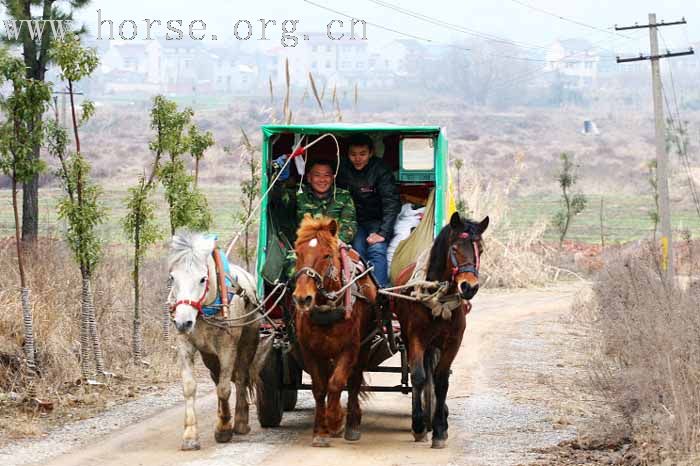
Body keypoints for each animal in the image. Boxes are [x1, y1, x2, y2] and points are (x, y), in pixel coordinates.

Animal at [168, 231, 270, 450]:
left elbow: (224, 389)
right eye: (172, 277)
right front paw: (190, 436)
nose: (183, 322)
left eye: (202, 279)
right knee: (217, 378)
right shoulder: (185, 344)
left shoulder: (227, 347)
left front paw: (223, 429)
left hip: (247, 342)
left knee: (240, 378)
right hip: (209, 355)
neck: (204, 310)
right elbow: (190, 387)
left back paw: (240, 422)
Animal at [292, 215, 378, 448]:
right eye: (298, 253)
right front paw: (320, 431)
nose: (302, 298)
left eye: (326, 255)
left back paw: (353, 424)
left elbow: (337, 383)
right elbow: (320, 388)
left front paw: (335, 419)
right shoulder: (310, 351)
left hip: (364, 347)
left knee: (354, 381)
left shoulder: (350, 348)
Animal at [394, 213, 486, 450]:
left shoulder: (453, 342)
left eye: (480, 249)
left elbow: (441, 381)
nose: (469, 287)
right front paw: (418, 425)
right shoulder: (416, 338)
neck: (439, 296)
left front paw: (439, 430)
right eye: (454, 248)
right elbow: (418, 377)